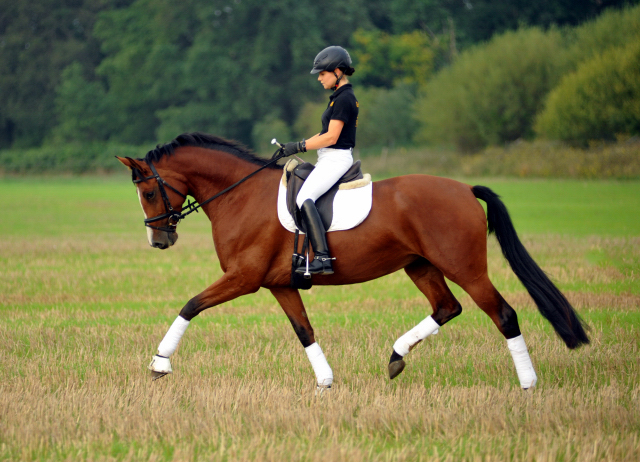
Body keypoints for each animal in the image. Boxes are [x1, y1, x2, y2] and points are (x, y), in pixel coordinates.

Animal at [116, 132, 592, 392]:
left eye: (149, 191)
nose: (159, 240)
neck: (240, 194)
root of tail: (463, 189)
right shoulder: (279, 283)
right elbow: (304, 331)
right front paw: (325, 381)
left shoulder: (243, 277)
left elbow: (190, 305)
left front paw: (160, 364)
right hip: (419, 264)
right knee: (447, 307)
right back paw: (396, 356)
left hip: (466, 267)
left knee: (502, 314)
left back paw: (528, 384)